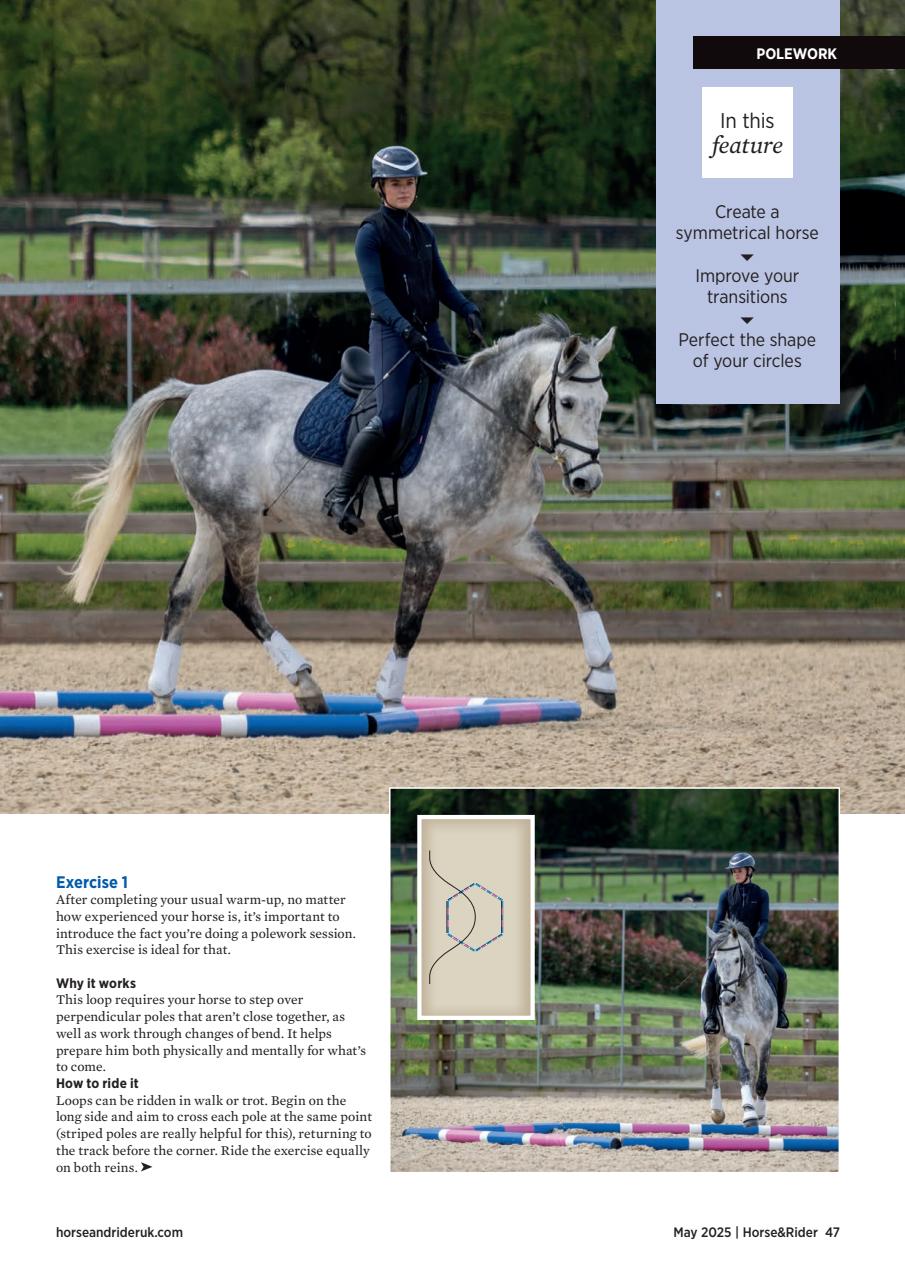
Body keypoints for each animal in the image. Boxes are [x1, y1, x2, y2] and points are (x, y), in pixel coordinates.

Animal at [65, 315, 618, 714]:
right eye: (568, 401)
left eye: (604, 401)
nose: (586, 481)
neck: (486, 427)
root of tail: (199, 392)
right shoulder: (428, 546)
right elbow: (408, 624)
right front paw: (389, 694)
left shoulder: (511, 539)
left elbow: (578, 584)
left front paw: (603, 676)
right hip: (239, 524)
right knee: (240, 598)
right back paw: (305, 684)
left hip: (213, 523)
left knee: (183, 595)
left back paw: (162, 694)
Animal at [699, 919, 778, 1127]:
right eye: (716, 961)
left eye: (736, 960)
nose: (726, 999)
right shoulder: (735, 1038)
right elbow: (743, 1074)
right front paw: (749, 1113)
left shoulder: (764, 1040)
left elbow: (761, 1080)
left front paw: (760, 1114)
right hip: (712, 1036)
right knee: (715, 1069)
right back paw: (717, 1111)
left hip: (751, 1043)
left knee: (753, 1069)